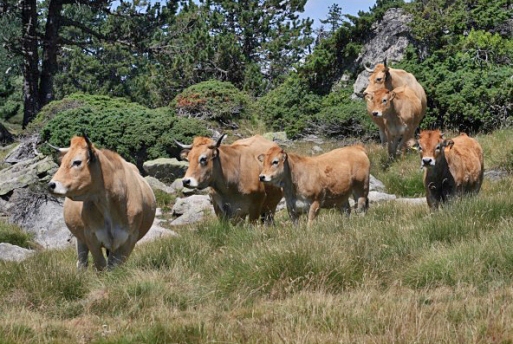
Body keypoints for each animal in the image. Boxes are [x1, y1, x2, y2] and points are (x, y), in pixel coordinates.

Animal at [48, 136, 156, 270]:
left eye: (77, 162)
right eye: (62, 162)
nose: (51, 185)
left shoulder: (129, 239)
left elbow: (114, 266)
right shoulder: (90, 235)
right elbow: (101, 264)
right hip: (80, 238)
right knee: (82, 262)